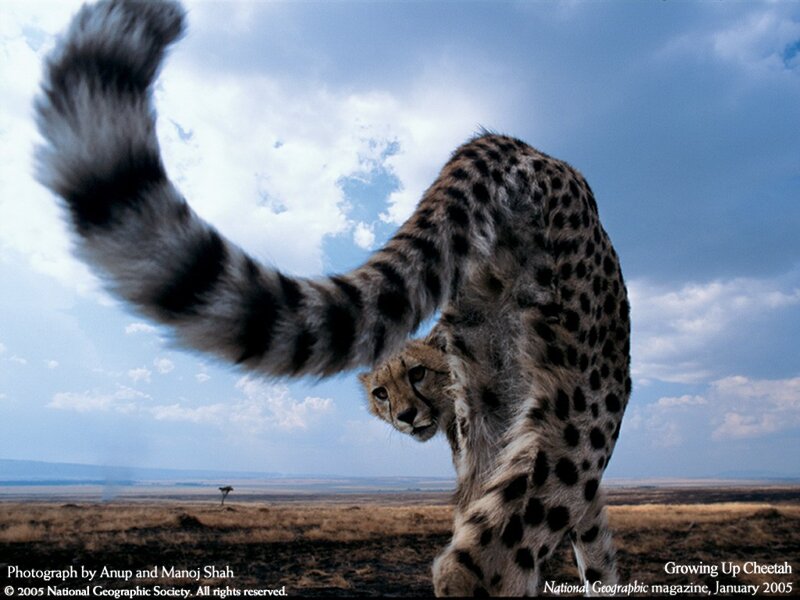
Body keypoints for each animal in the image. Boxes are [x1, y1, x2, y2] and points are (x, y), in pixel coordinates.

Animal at [35, 0, 631, 595]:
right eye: (381, 394)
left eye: (417, 374)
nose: (407, 417)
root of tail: (506, 141)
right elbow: (589, 547)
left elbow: (590, 543)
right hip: (587, 400)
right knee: (482, 559)